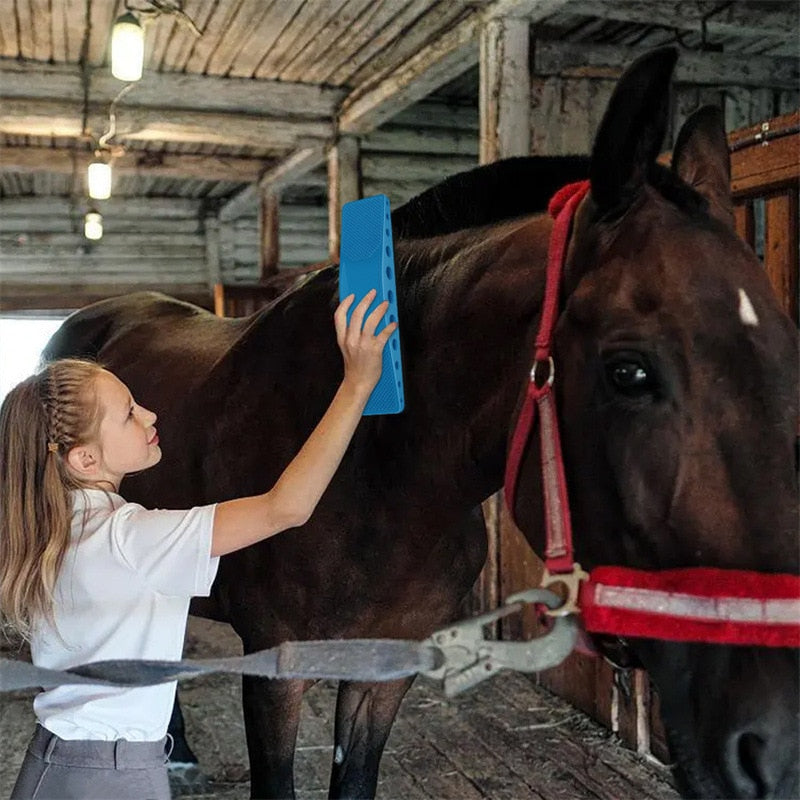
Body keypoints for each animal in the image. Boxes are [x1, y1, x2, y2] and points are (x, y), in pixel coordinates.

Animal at [43, 47, 798, 799]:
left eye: (785, 353)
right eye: (629, 372)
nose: (773, 746)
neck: (381, 473)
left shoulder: (385, 673)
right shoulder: (276, 674)